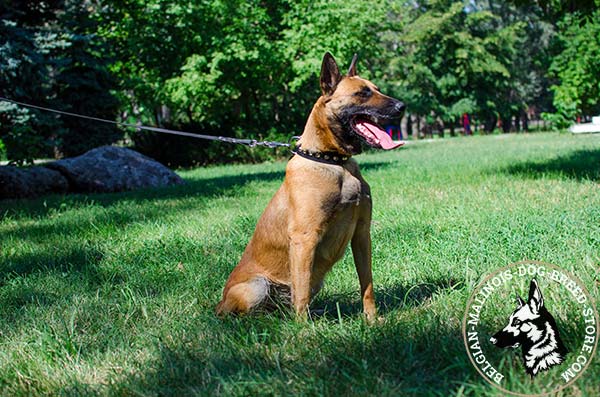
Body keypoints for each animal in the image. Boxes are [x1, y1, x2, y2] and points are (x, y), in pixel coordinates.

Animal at [213, 52, 406, 320]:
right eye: (362, 93)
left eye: (376, 89)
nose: (402, 107)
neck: (334, 161)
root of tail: (219, 303)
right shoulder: (305, 239)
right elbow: (301, 291)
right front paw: (304, 328)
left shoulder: (361, 233)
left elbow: (367, 284)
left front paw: (371, 319)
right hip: (256, 287)